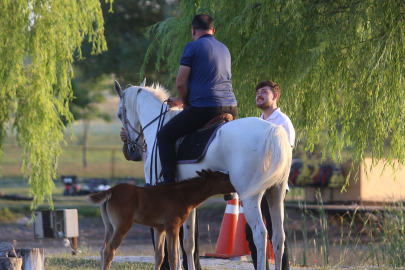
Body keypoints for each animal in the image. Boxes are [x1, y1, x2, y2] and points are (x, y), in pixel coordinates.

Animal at [87, 170, 235, 268]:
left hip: (109, 227)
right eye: (224, 178)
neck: (182, 196)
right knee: (109, 251)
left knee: (102, 250)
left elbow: (159, 256)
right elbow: (173, 256)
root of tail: (111, 190)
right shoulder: (172, 226)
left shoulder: (159, 228)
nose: (235, 187)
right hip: (122, 226)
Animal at [113, 80, 290, 270]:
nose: (133, 151)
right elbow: (188, 243)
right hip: (276, 194)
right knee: (278, 236)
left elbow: (173, 246)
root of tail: (273, 130)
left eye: (119, 115)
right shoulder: (186, 201)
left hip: (251, 197)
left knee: (260, 234)